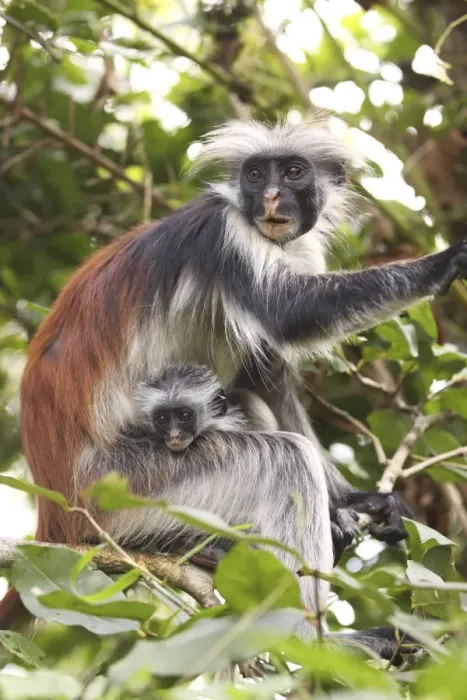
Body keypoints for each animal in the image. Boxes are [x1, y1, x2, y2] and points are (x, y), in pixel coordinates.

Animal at [2, 118, 465, 652]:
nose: (269, 196)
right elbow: (290, 314)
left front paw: (354, 503)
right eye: (254, 174)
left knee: (249, 402)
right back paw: (310, 643)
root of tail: (54, 513)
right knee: (285, 460)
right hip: (123, 485)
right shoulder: (227, 234)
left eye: (292, 171)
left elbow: (265, 377)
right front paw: (443, 263)